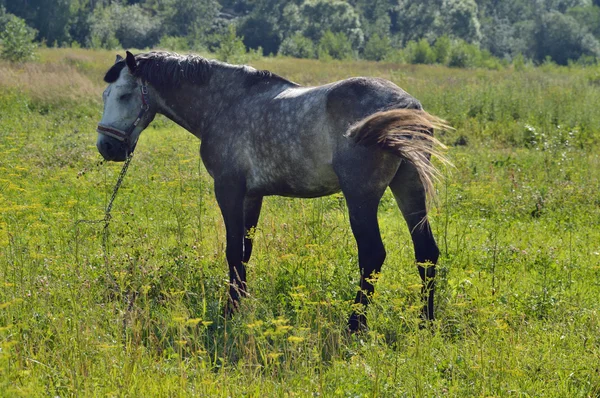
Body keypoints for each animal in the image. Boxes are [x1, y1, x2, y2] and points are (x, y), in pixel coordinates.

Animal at [96, 50, 448, 332]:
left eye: (124, 95)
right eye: (105, 95)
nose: (107, 147)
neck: (223, 103)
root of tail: (406, 105)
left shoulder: (228, 189)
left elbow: (232, 251)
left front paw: (229, 311)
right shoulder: (252, 196)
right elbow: (245, 251)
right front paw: (240, 302)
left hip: (361, 197)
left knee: (373, 255)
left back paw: (355, 325)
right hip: (409, 187)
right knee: (426, 253)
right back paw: (426, 322)